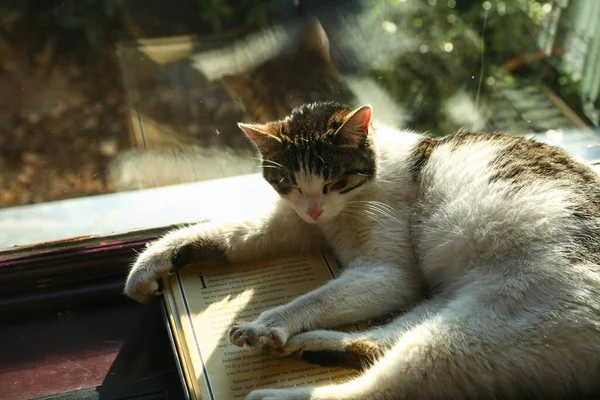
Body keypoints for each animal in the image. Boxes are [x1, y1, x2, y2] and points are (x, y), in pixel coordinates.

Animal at [122, 101, 600, 400]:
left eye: (333, 179)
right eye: (288, 182)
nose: (315, 208)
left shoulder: (386, 271)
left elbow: (319, 296)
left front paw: (269, 322)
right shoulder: (289, 224)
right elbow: (226, 233)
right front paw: (152, 262)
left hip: (477, 332)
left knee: (382, 386)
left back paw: (274, 390)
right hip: (447, 310)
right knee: (380, 342)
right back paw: (311, 343)